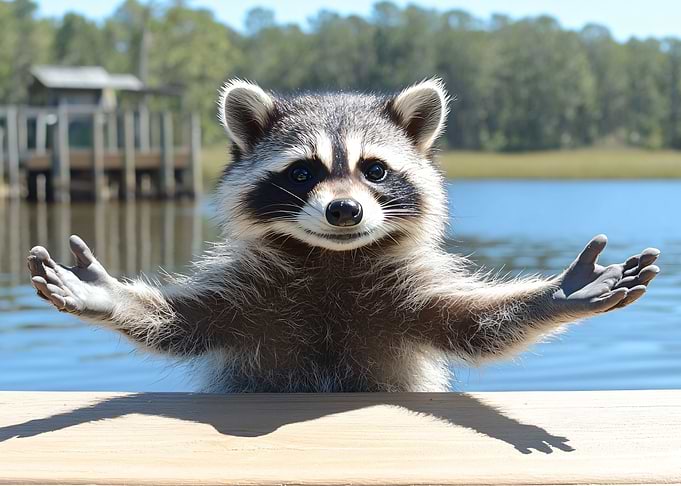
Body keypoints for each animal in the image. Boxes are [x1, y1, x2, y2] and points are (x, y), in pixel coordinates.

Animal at [27, 79, 660, 392]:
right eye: (302, 173)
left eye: (374, 170)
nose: (345, 212)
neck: (331, 259)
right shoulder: (250, 299)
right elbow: (184, 325)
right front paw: (107, 295)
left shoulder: (404, 298)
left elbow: (475, 327)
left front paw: (557, 295)